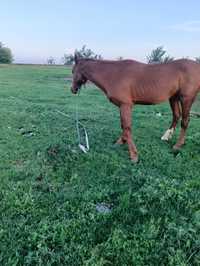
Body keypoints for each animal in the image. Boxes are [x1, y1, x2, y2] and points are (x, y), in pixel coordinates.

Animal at [71, 55, 200, 161]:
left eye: (73, 71)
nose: (73, 90)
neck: (113, 74)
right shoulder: (122, 106)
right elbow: (123, 125)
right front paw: (121, 141)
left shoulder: (125, 105)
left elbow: (127, 127)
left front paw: (133, 155)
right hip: (173, 98)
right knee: (176, 116)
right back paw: (166, 137)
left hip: (186, 99)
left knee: (185, 120)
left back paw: (178, 145)